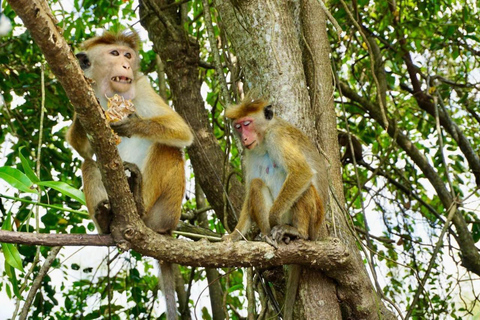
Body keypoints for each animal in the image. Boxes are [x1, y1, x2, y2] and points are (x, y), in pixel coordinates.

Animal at [222, 98, 328, 320]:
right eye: (238, 126)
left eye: (247, 124)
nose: (244, 137)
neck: (263, 141)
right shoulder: (249, 153)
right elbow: (249, 192)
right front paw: (234, 235)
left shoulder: (277, 138)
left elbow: (301, 172)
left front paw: (273, 219)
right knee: (256, 184)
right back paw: (266, 235)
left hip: (315, 218)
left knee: (306, 188)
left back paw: (297, 232)